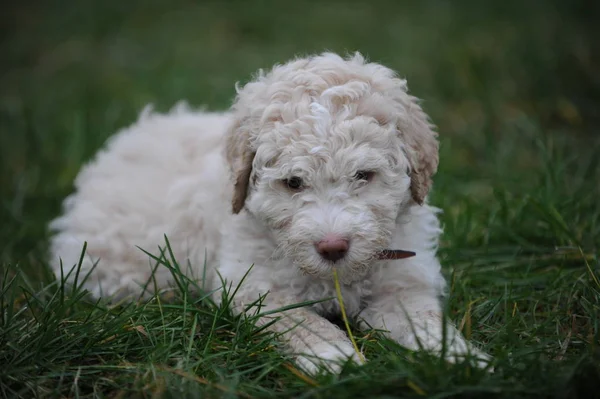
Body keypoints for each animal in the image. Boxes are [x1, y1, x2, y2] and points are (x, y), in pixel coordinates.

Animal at [49, 51, 490, 374]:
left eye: (364, 175)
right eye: (293, 182)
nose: (333, 247)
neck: (334, 277)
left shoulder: (403, 282)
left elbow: (424, 319)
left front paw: (461, 358)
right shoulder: (255, 288)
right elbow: (302, 323)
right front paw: (338, 359)